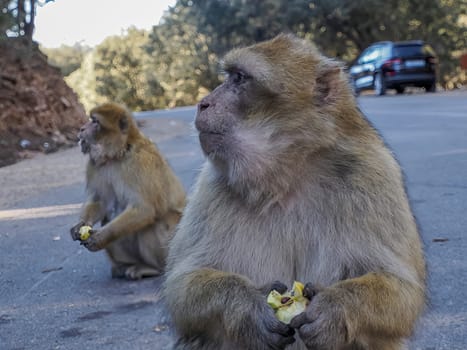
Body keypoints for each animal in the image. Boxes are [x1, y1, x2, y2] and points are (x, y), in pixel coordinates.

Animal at [70, 101, 186, 278]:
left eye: (95, 122)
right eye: (90, 120)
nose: (82, 129)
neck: (118, 154)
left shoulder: (142, 163)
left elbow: (145, 209)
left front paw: (101, 237)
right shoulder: (95, 165)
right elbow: (99, 201)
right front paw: (80, 225)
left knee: (155, 222)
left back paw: (154, 269)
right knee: (109, 216)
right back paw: (125, 266)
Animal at [165, 33, 428, 350]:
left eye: (239, 78)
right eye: (231, 76)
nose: (203, 104)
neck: (286, 177)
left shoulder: (373, 175)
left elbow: (403, 292)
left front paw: (334, 309)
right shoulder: (212, 185)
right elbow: (182, 287)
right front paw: (249, 307)